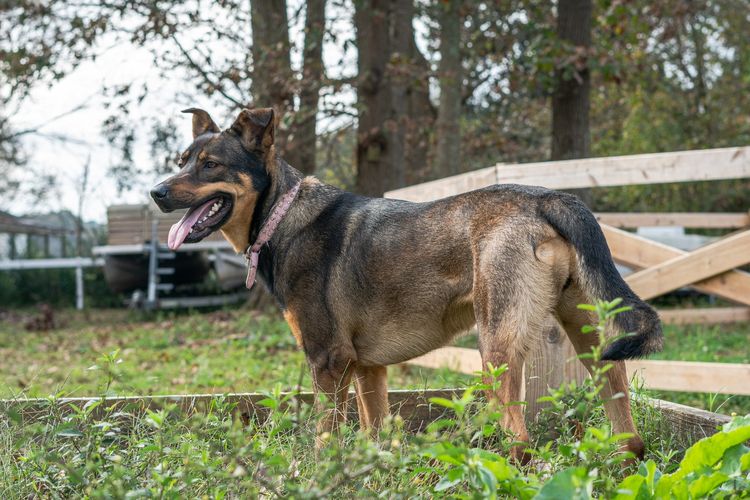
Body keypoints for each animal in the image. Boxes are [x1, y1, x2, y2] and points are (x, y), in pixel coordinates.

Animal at [151, 106, 664, 460]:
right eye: (182, 160)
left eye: (211, 165)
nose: (155, 192)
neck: (282, 215)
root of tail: (546, 197)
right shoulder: (367, 369)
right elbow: (372, 434)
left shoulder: (327, 362)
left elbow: (324, 439)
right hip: (590, 338)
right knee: (629, 433)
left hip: (496, 350)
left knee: (520, 442)